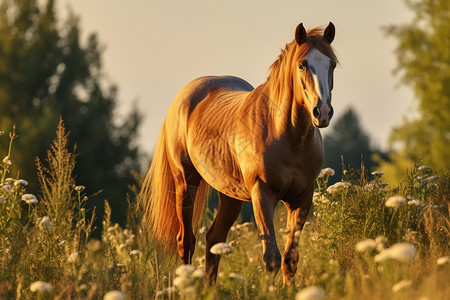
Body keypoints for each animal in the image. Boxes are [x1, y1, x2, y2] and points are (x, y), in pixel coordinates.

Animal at [139, 22, 336, 284]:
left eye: (332, 65)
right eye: (302, 65)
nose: (322, 112)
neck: (289, 136)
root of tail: (183, 96)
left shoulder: (301, 198)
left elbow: (289, 259)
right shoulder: (262, 194)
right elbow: (271, 258)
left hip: (229, 195)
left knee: (213, 240)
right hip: (185, 183)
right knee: (186, 242)